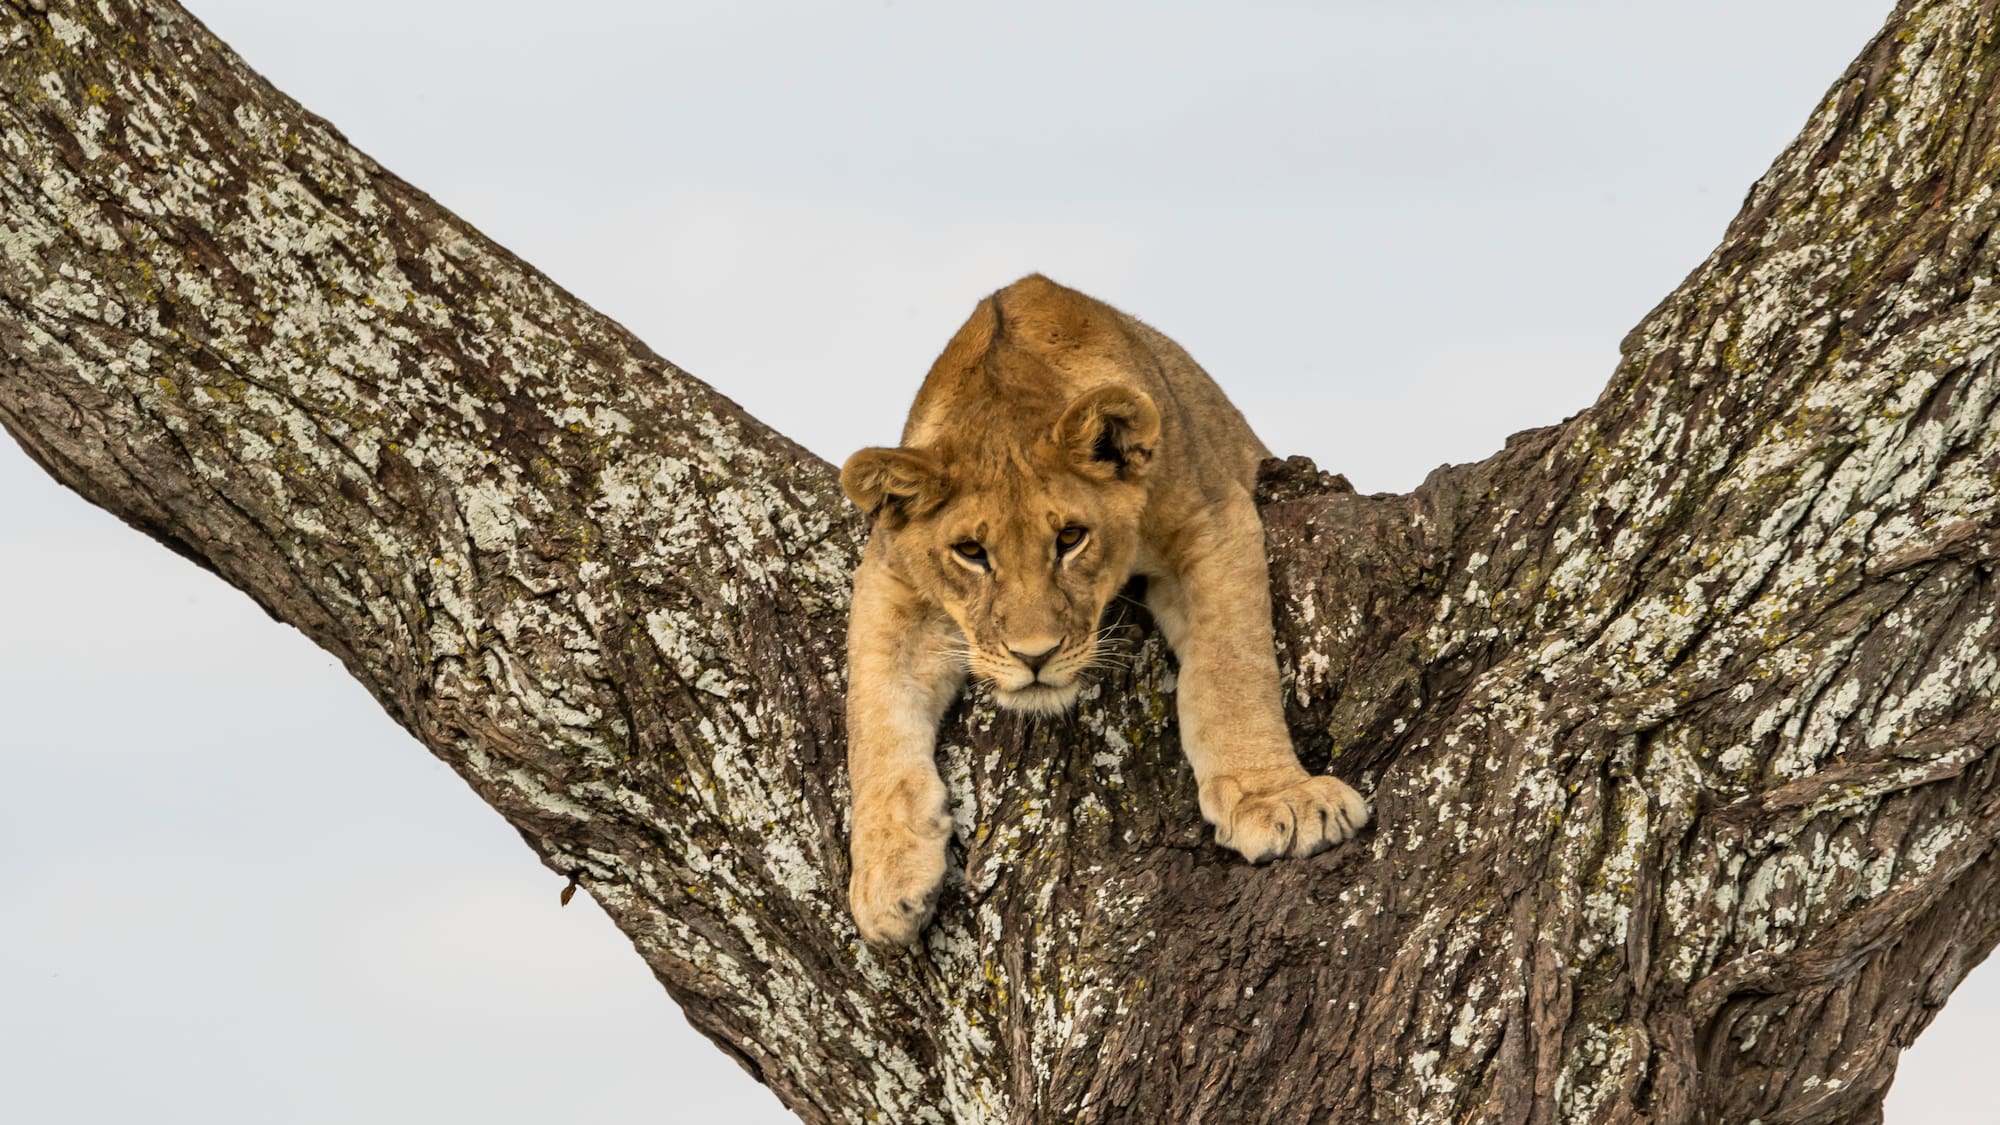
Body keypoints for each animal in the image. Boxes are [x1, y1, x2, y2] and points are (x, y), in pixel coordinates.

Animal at [839, 274, 1369, 946]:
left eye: (1070, 538)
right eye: (971, 552)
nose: (1034, 657)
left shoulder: (1211, 516)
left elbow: (1231, 669)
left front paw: (1279, 800)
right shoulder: (888, 575)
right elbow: (874, 717)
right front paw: (884, 880)